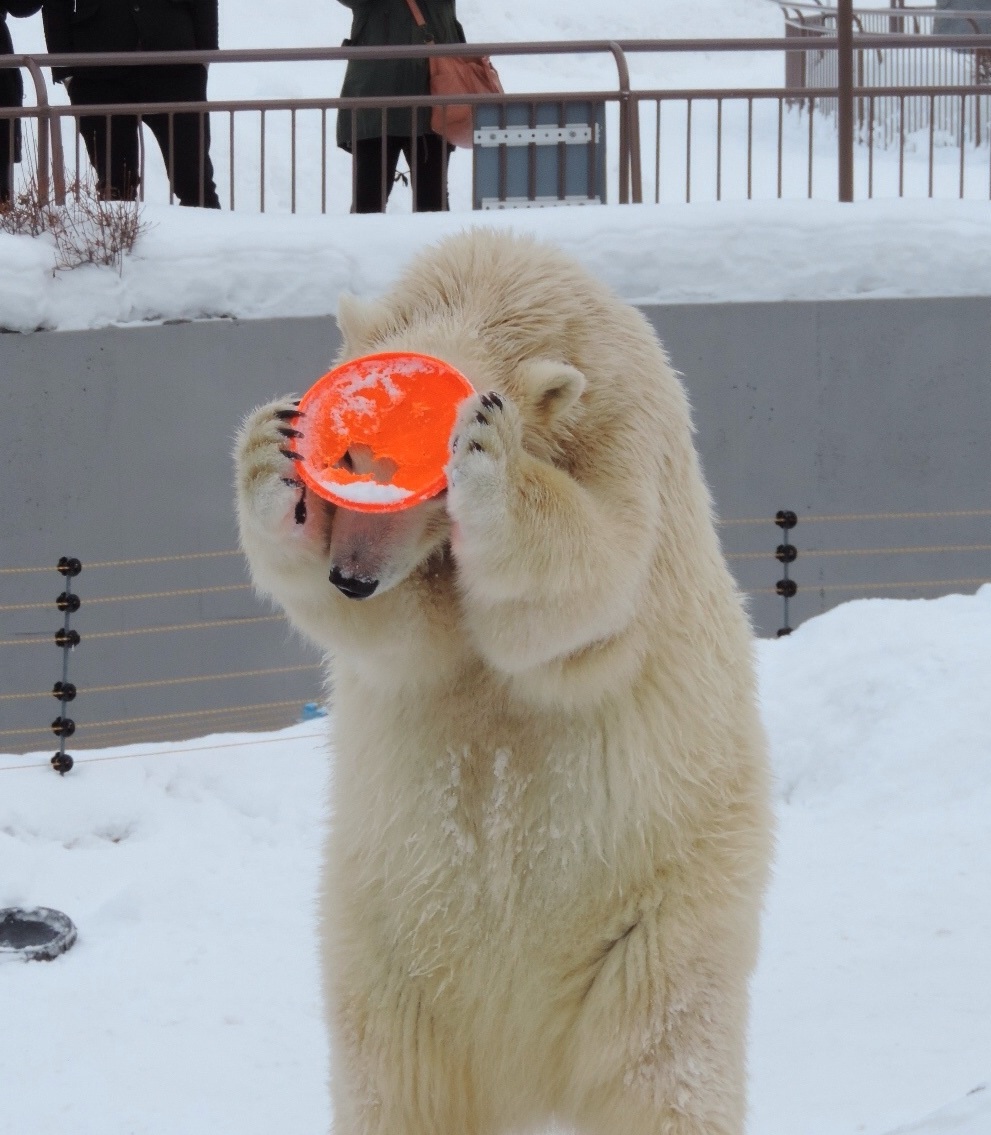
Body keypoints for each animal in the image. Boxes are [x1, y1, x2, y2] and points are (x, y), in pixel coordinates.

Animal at [233, 230, 771, 1135]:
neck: (498, 286)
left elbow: (589, 581)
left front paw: (489, 449)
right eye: (347, 459)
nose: (351, 573)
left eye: (426, 476)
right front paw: (271, 450)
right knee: (397, 1087)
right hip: (384, 950)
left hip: (656, 920)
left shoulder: (626, 436)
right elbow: (401, 640)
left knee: (659, 1065)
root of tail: (525, 1059)